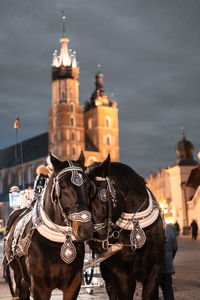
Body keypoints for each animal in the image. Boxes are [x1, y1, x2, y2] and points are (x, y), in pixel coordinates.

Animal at [3, 152, 94, 300]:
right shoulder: (39, 288)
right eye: (62, 185)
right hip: (18, 276)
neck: (57, 243)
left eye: (88, 185)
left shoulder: (73, 285)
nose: (85, 230)